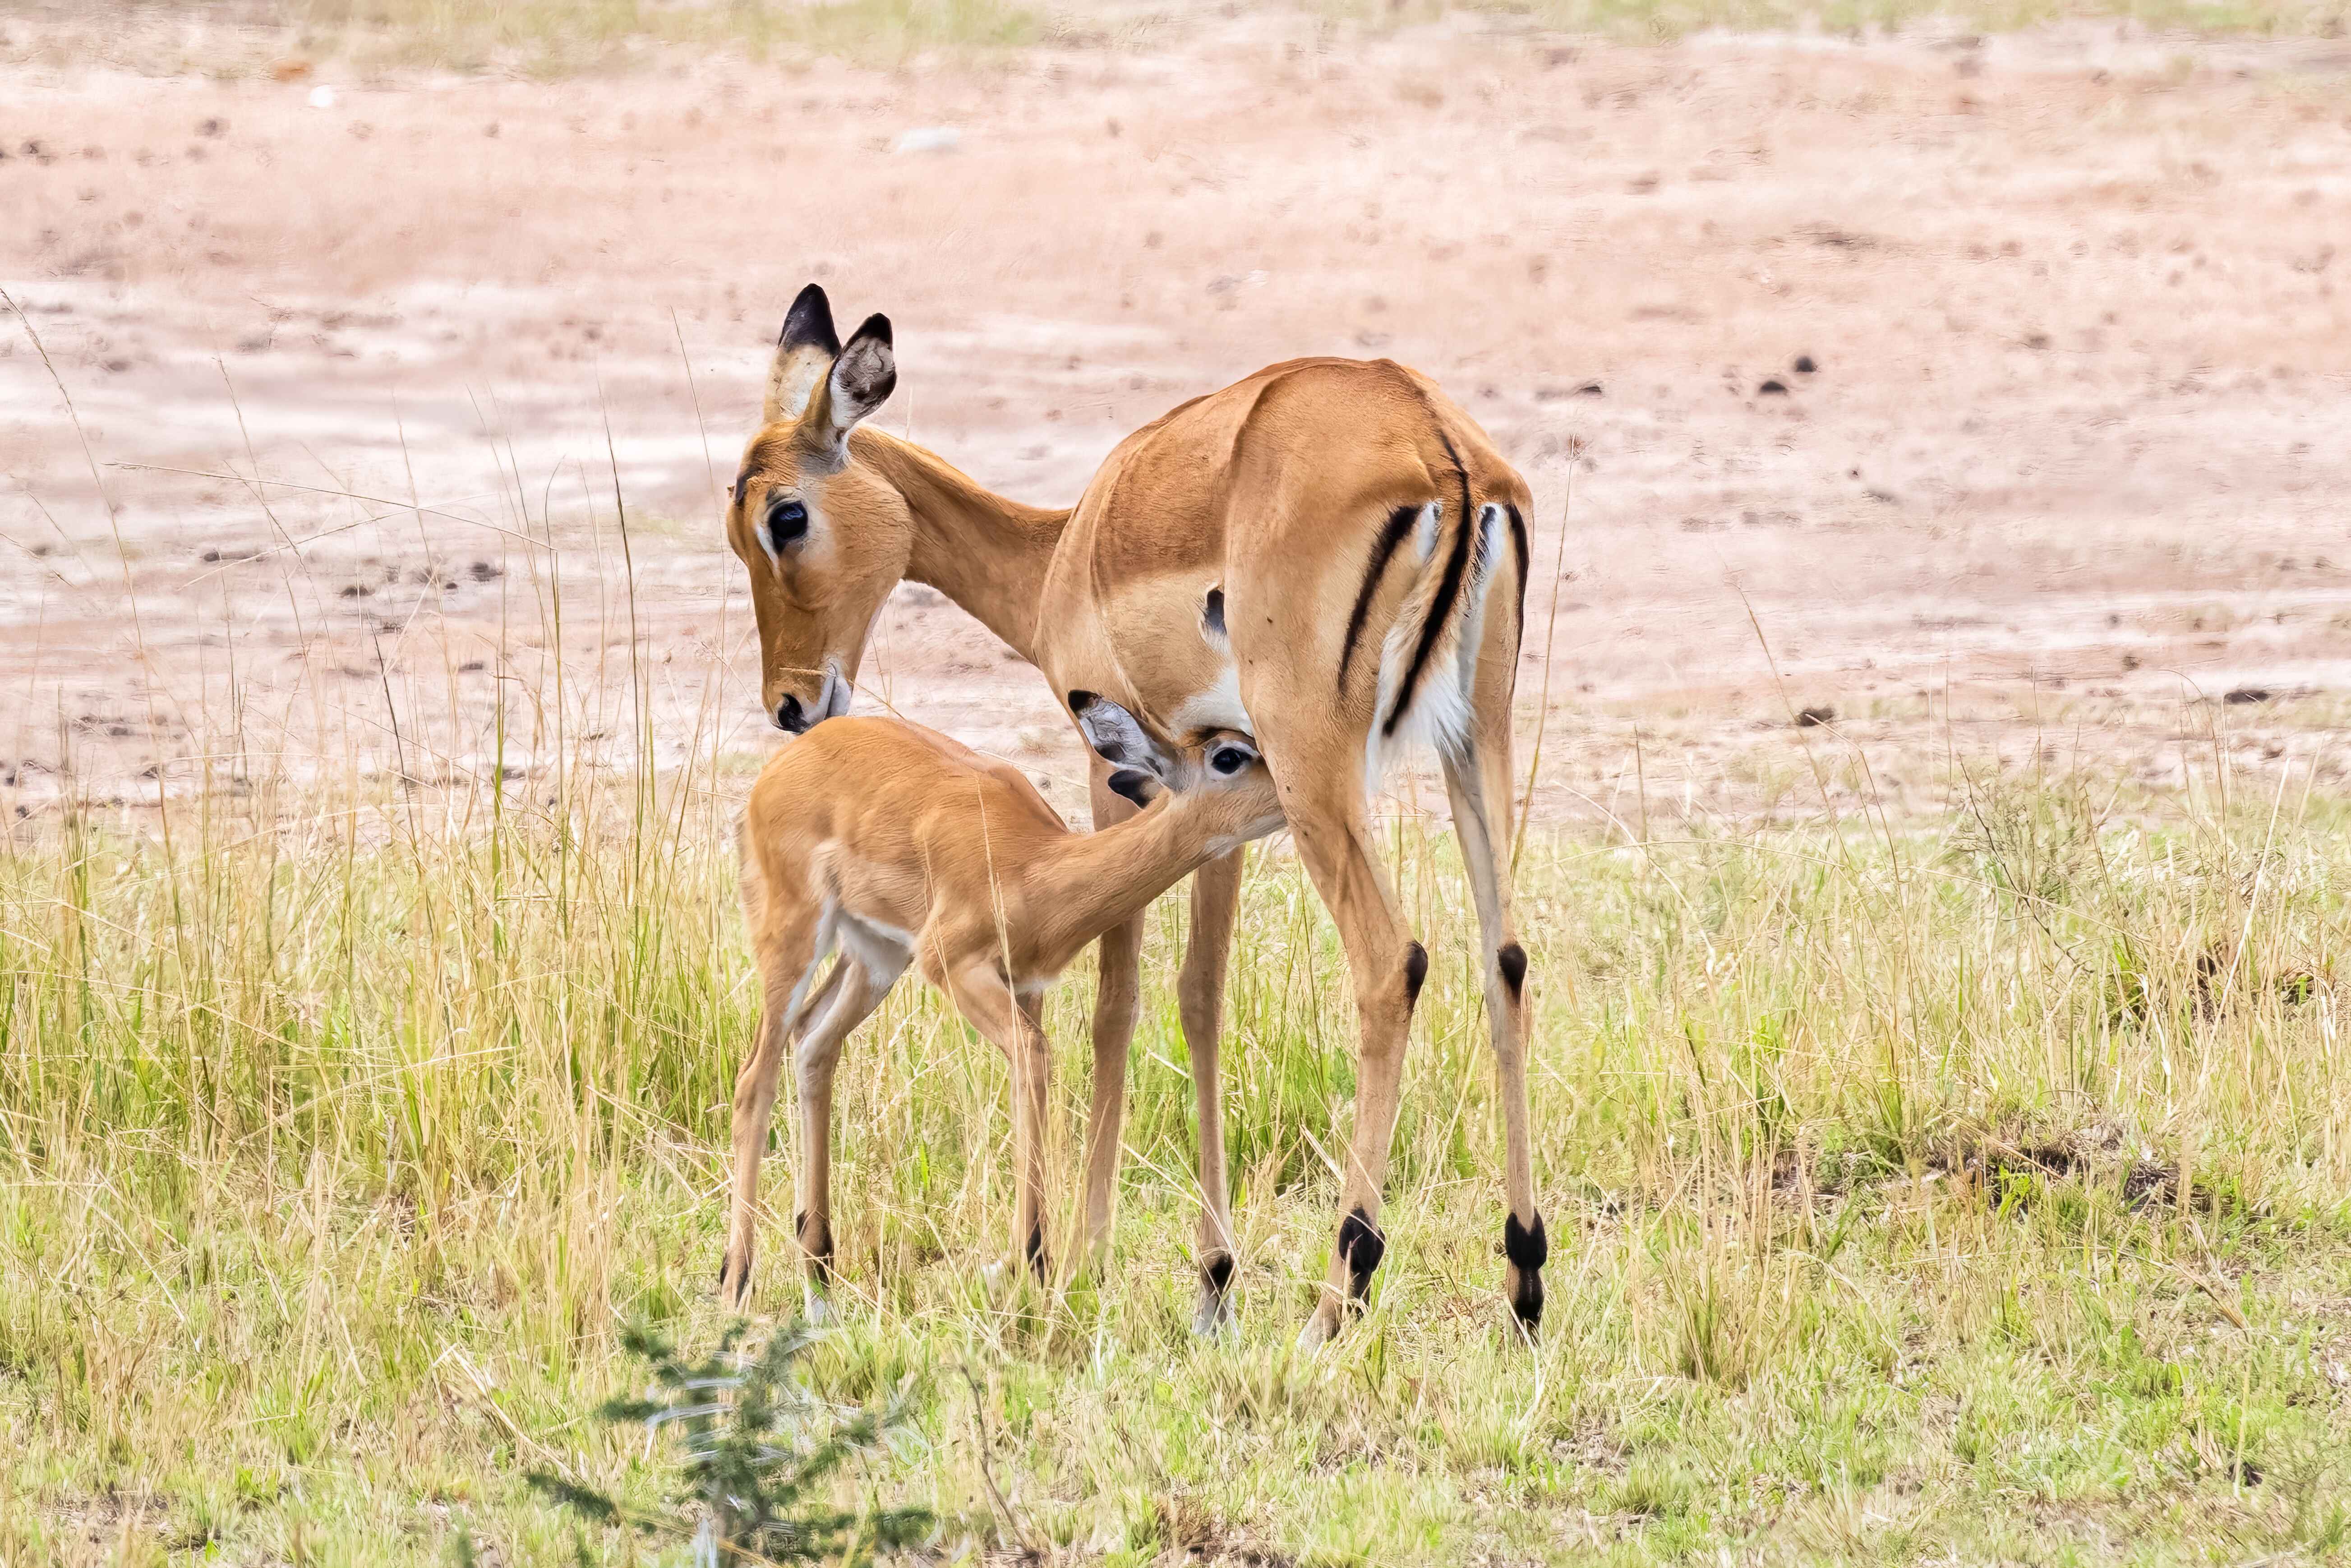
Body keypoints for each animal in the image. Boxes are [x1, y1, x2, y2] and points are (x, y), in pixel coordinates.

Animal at [719, 709, 1280, 1305]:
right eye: (1228, 755)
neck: (1037, 868)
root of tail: (781, 765)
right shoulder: (955, 966)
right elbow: (1035, 1056)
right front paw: (1029, 1261)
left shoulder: (1026, 986)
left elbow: (1030, 1078)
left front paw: (1027, 1266)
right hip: (795, 935)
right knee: (754, 1077)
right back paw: (736, 1282)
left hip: (876, 956)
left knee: (813, 1043)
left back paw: (819, 1279)